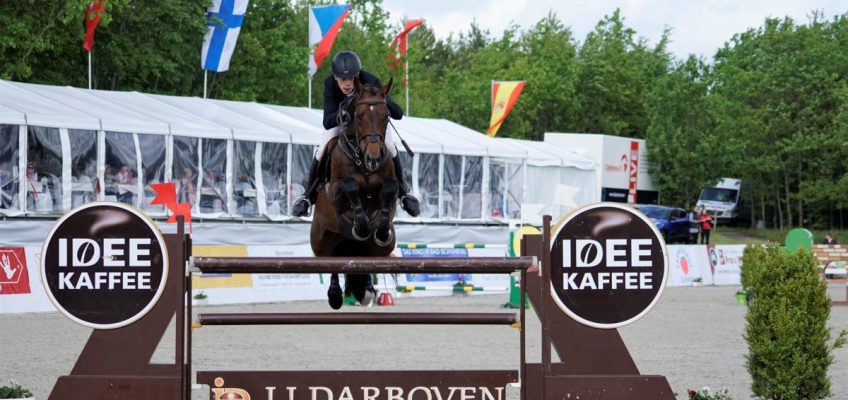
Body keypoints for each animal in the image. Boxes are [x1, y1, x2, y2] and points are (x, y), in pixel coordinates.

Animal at [312, 77, 400, 310]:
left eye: (386, 116)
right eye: (359, 115)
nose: (373, 158)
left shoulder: (390, 190)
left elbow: (390, 189)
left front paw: (379, 229)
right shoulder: (335, 194)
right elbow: (350, 185)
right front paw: (361, 225)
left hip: (382, 249)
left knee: (367, 261)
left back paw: (367, 289)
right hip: (321, 242)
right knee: (332, 264)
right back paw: (335, 295)